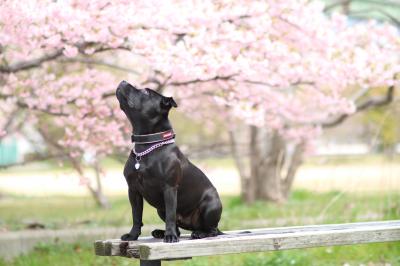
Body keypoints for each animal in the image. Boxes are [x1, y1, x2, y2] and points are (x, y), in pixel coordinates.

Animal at [115, 80, 223, 242]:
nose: (123, 81)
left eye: (146, 92)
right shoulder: (133, 190)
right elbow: (136, 216)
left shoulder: (169, 189)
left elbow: (171, 215)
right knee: (178, 227)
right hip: (160, 209)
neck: (147, 145)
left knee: (212, 229)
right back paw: (161, 232)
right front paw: (133, 235)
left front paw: (170, 236)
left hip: (211, 205)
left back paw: (199, 233)